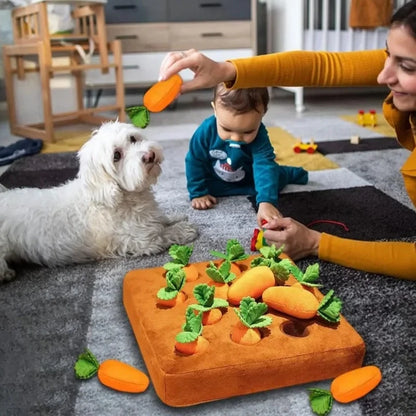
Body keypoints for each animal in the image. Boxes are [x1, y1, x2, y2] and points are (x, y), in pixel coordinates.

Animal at [0, 122, 198, 282]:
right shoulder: (142, 240)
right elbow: (164, 234)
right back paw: (6, 274)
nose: (149, 155)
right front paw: (183, 229)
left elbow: (162, 219)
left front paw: (174, 217)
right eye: (116, 156)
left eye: (133, 138)